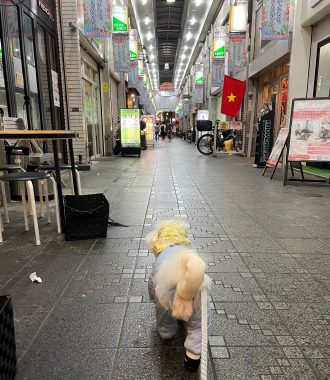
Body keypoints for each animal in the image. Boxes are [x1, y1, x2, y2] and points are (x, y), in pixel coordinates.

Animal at [148, 220, 211, 372]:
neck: (173, 241)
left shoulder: (152, 280)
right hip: (200, 317)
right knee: (195, 341)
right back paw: (191, 363)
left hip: (164, 310)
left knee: (167, 330)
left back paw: (163, 337)